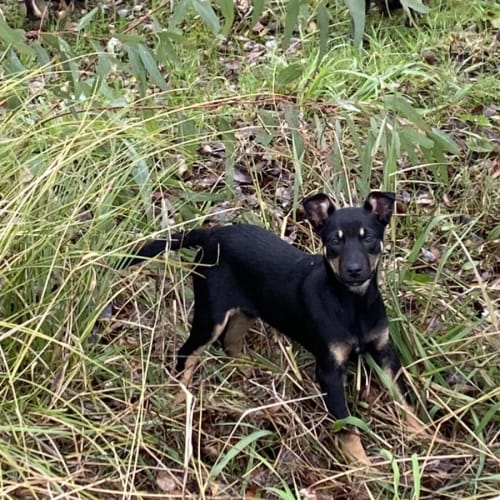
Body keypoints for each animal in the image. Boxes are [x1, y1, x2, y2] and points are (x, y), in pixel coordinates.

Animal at [118, 192, 426, 464]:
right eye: (333, 242)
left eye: (370, 239)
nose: (353, 270)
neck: (353, 304)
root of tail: (210, 234)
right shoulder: (328, 371)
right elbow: (347, 425)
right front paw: (363, 467)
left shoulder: (385, 351)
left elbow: (403, 396)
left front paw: (422, 432)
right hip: (210, 316)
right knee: (188, 353)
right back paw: (182, 398)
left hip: (248, 310)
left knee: (230, 342)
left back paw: (249, 370)